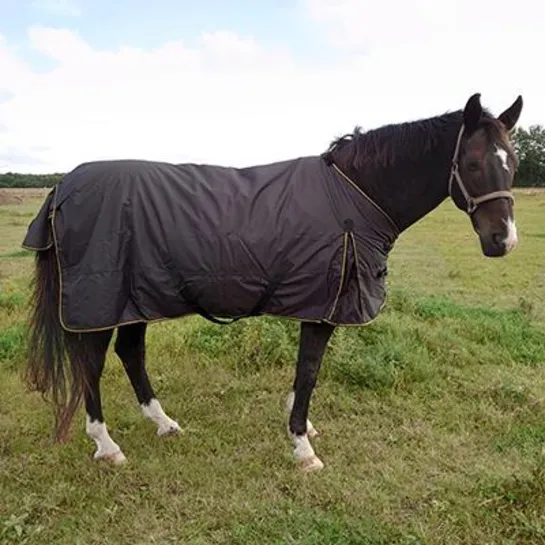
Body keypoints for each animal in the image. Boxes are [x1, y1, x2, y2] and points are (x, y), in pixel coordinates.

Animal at [21, 92, 523, 472]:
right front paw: (303, 447)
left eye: (513, 162)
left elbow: (306, 374)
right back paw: (106, 445)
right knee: (92, 365)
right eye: (472, 163)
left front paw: (300, 426)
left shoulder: (320, 303)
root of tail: (63, 186)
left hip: (137, 296)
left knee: (130, 353)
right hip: (101, 300)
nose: (503, 241)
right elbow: (310, 370)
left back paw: (163, 424)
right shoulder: (321, 308)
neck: (355, 195)